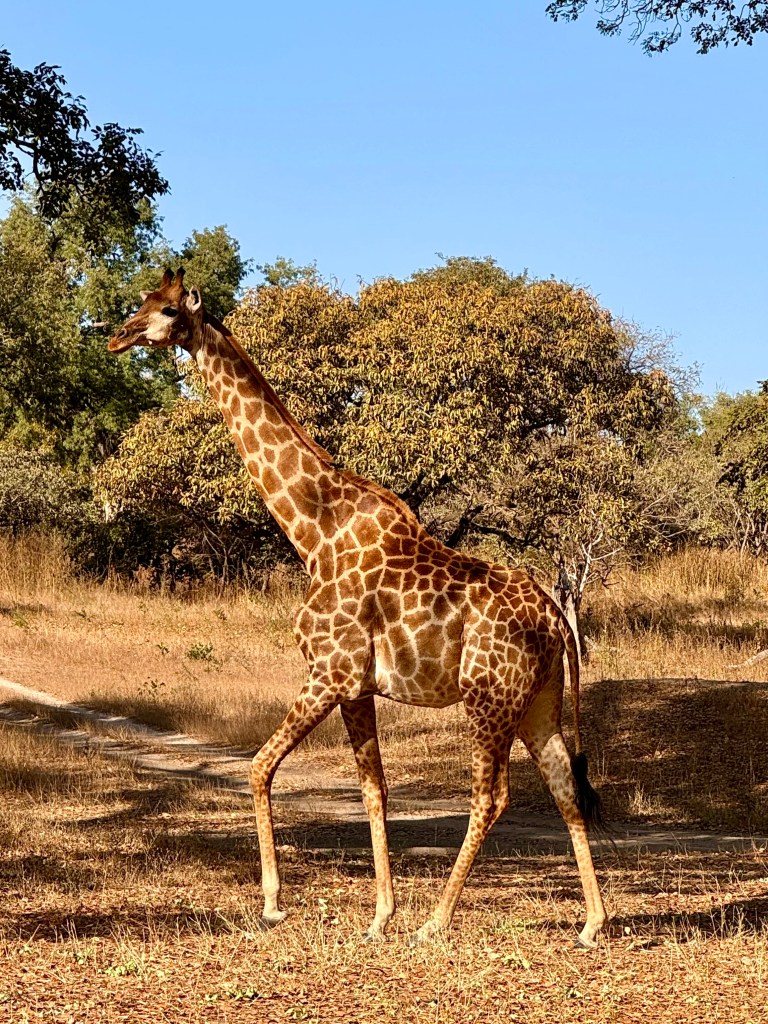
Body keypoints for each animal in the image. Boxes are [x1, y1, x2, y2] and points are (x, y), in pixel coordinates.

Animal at [109, 268, 607, 948]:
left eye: (163, 311)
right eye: (141, 303)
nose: (118, 336)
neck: (313, 532)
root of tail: (558, 619)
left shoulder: (329, 671)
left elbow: (260, 767)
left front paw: (274, 903)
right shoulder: (358, 686)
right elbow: (376, 790)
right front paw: (379, 915)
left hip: (488, 696)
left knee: (492, 795)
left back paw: (436, 922)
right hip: (537, 701)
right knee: (564, 782)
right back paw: (591, 923)